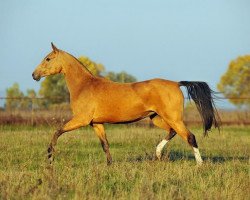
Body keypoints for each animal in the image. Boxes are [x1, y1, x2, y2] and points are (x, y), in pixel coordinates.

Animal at [32, 42, 220, 166]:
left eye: (48, 59)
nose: (34, 75)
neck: (85, 86)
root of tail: (176, 83)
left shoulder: (81, 120)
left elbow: (57, 132)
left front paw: (50, 157)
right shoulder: (97, 123)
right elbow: (105, 145)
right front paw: (109, 165)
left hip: (172, 118)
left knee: (190, 137)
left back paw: (199, 165)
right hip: (157, 118)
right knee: (172, 132)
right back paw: (157, 155)